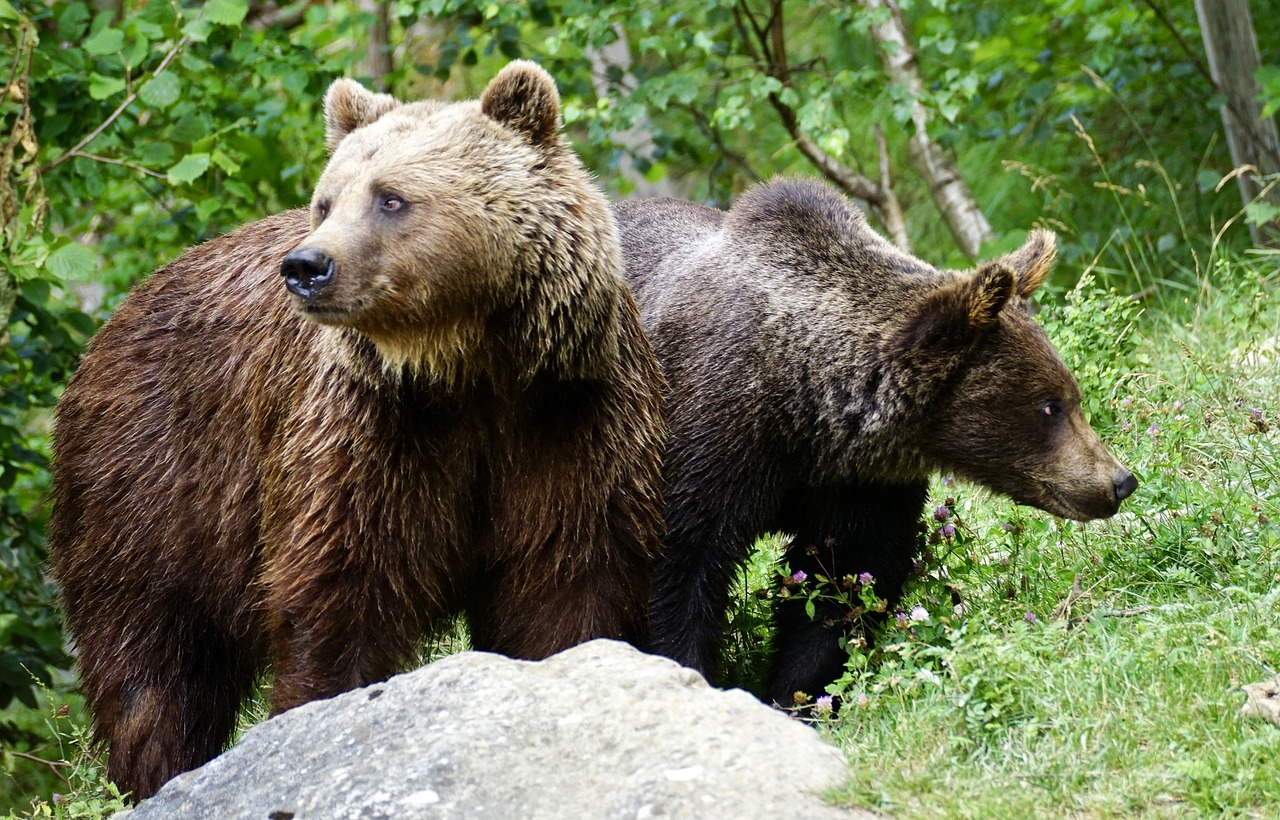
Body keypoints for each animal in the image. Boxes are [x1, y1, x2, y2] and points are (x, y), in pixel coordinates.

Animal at [48, 62, 665, 798]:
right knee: (150, 666)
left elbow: (567, 578)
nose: (306, 266)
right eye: (325, 201)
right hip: (151, 483)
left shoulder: (568, 416)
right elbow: (343, 592)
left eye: (390, 198)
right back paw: (157, 774)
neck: (466, 368)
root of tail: (112, 323)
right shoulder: (368, 431)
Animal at [614, 177, 1136, 706]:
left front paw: (801, 694)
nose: (1120, 481)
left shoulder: (860, 484)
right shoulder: (708, 441)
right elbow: (678, 572)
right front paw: (689, 672)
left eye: (1071, 395)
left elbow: (844, 583)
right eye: (1050, 406)